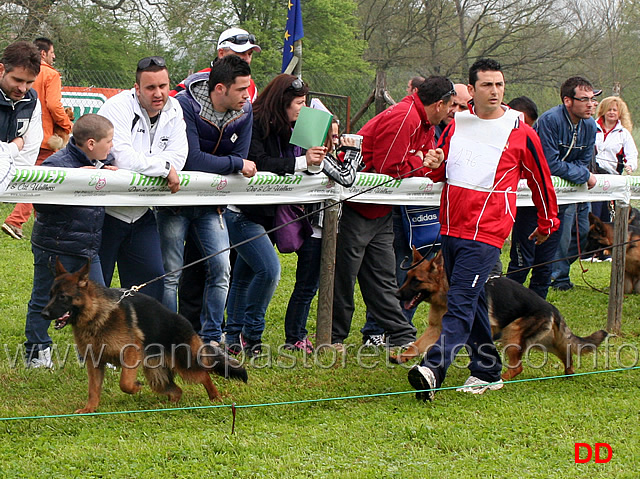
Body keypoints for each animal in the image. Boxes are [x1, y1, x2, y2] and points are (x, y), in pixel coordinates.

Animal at [42, 260, 248, 414]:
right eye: (50, 294)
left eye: (62, 297)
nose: (43, 314)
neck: (97, 314)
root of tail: (188, 325)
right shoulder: (94, 363)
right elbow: (93, 389)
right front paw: (89, 409)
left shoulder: (130, 354)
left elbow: (124, 383)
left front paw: (136, 387)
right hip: (156, 375)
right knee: (177, 390)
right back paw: (166, 406)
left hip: (186, 366)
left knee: (204, 375)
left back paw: (215, 397)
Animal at [392, 249, 608, 380]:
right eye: (407, 277)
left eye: (416, 280)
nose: (396, 295)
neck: (445, 290)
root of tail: (551, 308)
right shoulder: (436, 328)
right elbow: (417, 345)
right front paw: (402, 357)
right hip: (544, 342)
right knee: (567, 352)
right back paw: (568, 372)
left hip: (513, 334)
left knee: (518, 367)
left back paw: (502, 380)